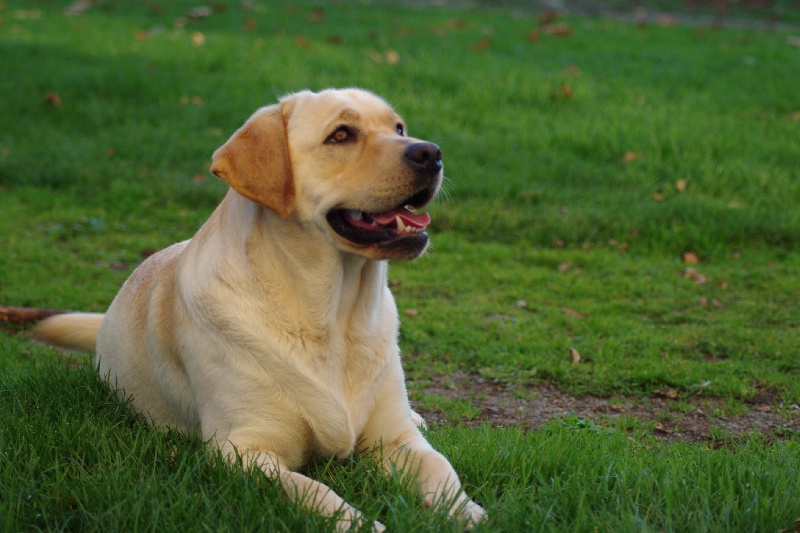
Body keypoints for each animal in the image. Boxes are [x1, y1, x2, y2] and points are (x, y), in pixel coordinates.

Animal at [32, 89, 488, 528]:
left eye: (398, 127)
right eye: (341, 134)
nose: (431, 152)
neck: (331, 318)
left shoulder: (395, 440)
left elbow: (441, 471)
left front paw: (468, 514)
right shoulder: (242, 449)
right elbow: (312, 490)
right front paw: (359, 523)